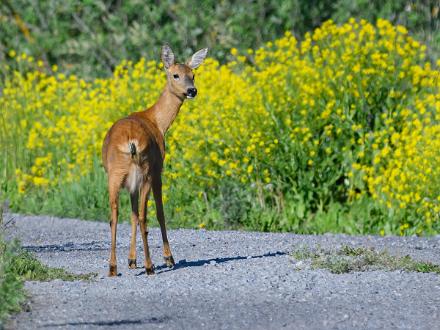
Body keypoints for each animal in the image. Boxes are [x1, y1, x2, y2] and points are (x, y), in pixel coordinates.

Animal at [102, 43, 209, 276]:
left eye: (193, 75)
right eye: (176, 75)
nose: (192, 91)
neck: (157, 122)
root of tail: (131, 140)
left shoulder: (130, 183)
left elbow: (132, 214)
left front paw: (131, 260)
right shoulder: (159, 169)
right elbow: (159, 212)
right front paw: (168, 258)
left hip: (115, 174)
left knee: (114, 215)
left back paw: (113, 267)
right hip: (146, 171)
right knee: (145, 216)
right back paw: (150, 266)